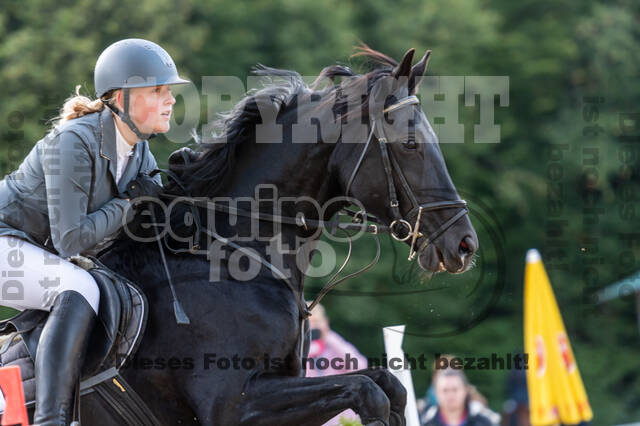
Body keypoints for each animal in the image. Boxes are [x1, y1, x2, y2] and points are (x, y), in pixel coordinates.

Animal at [89, 45, 476, 424]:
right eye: (410, 144)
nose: (464, 245)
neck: (236, 255)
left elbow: (387, 384)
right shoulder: (234, 405)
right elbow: (369, 392)